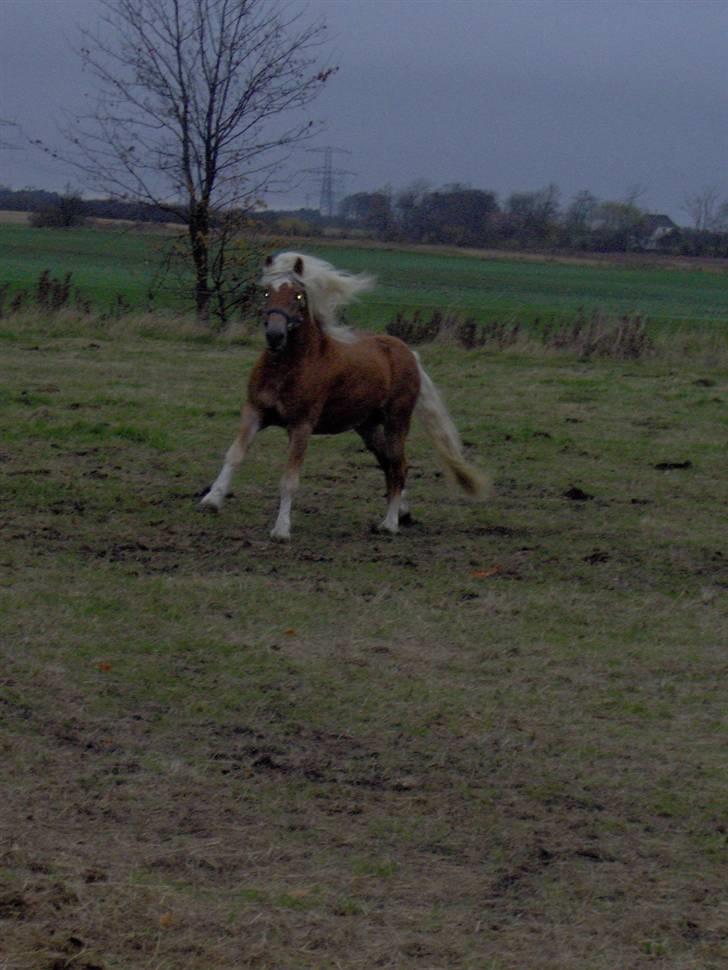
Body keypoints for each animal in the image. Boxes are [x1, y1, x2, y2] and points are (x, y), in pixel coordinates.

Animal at [200, 251, 484, 536]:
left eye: (298, 296)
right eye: (267, 292)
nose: (275, 335)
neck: (287, 367)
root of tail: (408, 353)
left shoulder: (301, 425)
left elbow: (289, 479)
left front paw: (281, 530)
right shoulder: (255, 412)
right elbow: (234, 454)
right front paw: (211, 501)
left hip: (397, 421)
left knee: (399, 465)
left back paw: (389, 523)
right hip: (368, 427)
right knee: (387, 464)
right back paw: (402, 513)